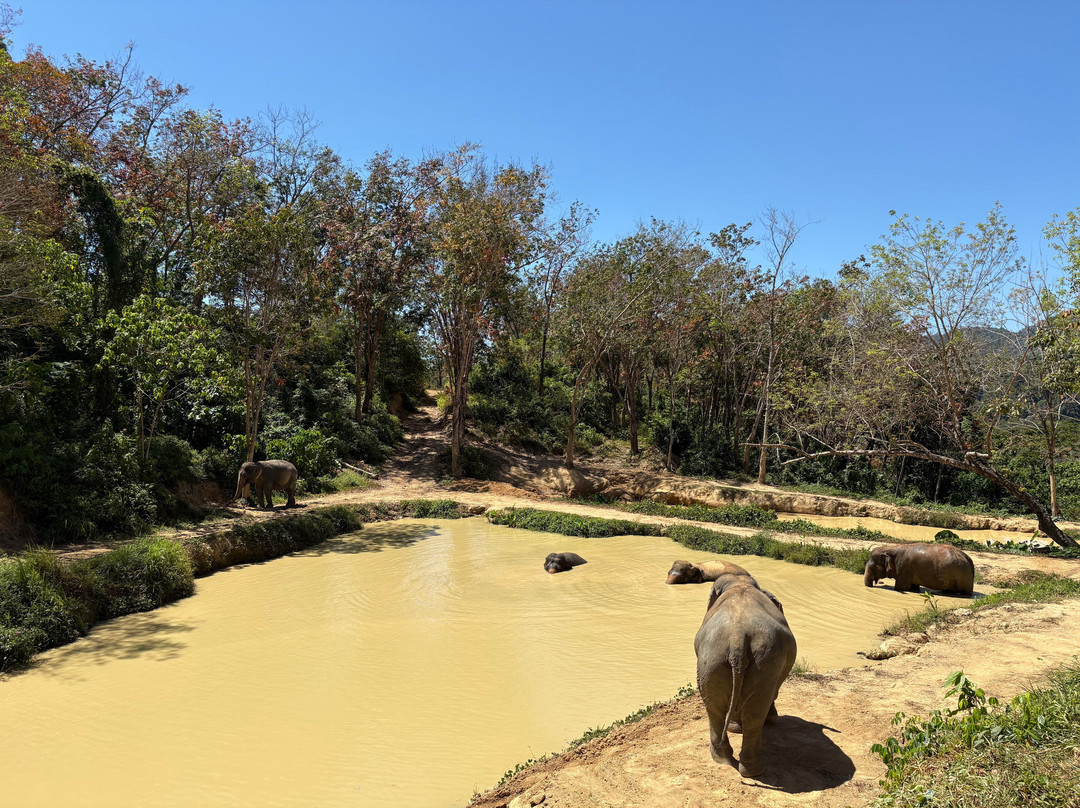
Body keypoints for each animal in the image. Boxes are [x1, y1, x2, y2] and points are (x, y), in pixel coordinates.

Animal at [695, 572, 797, 777]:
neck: (739, 582)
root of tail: (737, 638)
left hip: (718, 660)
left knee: (718, 710)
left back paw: (731, 762)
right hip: (741, 661)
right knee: (744, 713)